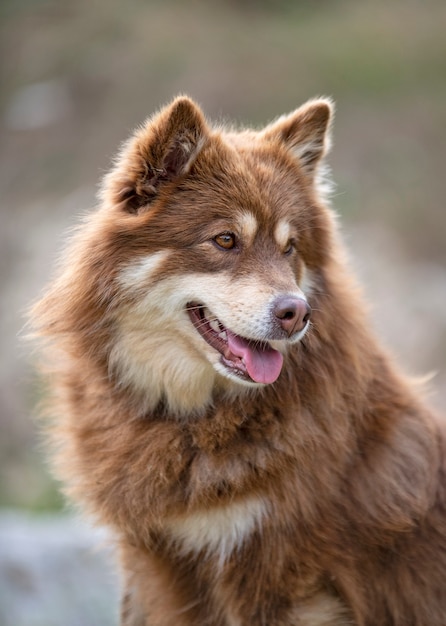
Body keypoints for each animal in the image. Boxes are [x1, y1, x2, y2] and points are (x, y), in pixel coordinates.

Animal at [30, 95, 446, 620]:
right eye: (226, 240)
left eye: (290, 248)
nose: (296, 313)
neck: (191, 420)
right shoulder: (152, 560)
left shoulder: (277, 577)